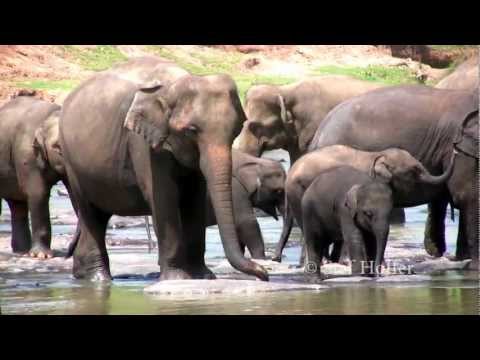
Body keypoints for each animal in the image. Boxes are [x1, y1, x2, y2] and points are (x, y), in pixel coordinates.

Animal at [0, 97, 70, 258]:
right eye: (57, 146)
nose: (70, 251)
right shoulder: (26, 154)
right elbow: (38, 193)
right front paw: (42, 256)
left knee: (17, 205)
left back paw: (22, 251)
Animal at [58, 56, 268, 282]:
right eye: (191, 131)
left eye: (237, 129)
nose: (263, 273)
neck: (174, 83)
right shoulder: (142, 143)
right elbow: (164, 197)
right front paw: (178, 278)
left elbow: (194, 197)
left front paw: (202, 276)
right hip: (72, 163)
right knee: (90, 214)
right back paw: (98, 278)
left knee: (98, 215)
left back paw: (82, 275)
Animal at [310, 84, 478, 270]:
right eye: (454, 149)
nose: (455, 150)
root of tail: (319, 132)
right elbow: (467, 196)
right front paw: (473, 266)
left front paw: (462, 259)